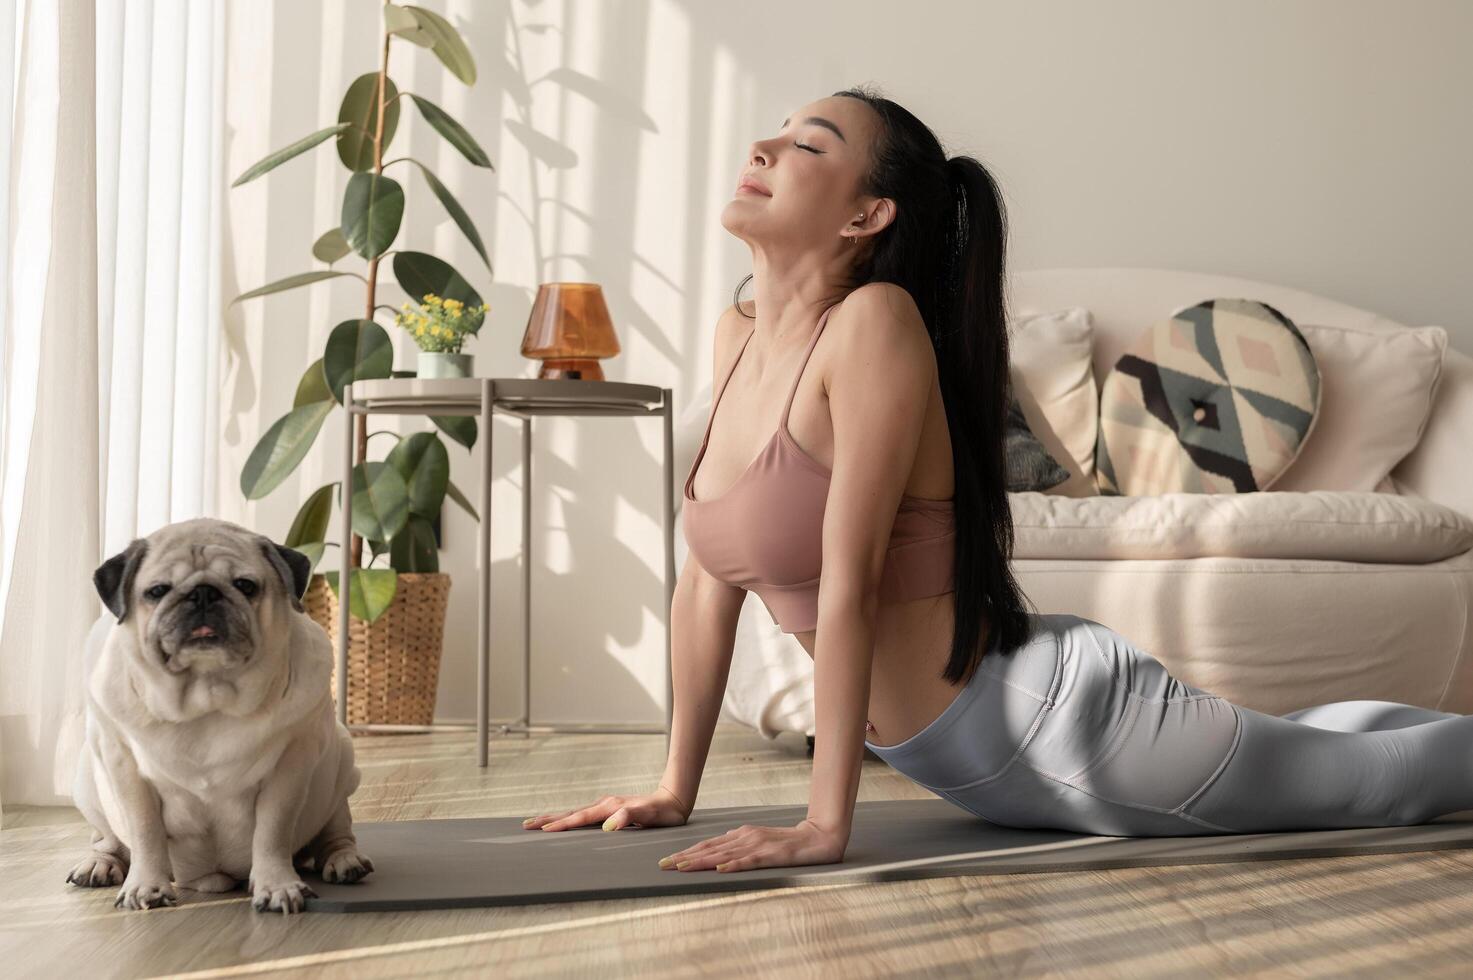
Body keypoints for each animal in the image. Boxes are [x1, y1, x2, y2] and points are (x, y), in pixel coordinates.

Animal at [67, 515, 374, 913]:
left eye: (245, 585)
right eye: (157, 591)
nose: (202, 594)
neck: (206, 694)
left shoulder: (291, 766)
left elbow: (273, 830)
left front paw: (276, 885)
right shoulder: (125, 766)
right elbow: (145, 831)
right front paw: (146, 885)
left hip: (339, 765)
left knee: (336, 831)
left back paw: (344, 861)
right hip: (88, 784)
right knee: (109, 838)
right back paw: (100, 864)